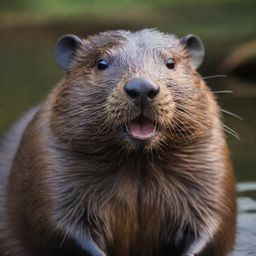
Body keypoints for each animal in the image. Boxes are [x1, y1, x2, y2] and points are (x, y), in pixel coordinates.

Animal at [0, 29, 236, 255]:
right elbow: (55, 227)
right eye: (101, 63)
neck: (137, 164)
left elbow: (215, 226)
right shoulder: (49, 162)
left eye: (170, 62)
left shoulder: (210, 165)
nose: (141, 88)